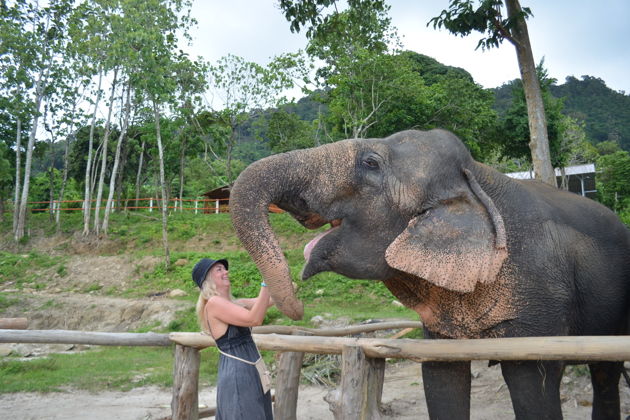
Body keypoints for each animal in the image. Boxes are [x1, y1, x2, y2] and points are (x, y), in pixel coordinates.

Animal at [231, 130, 630, 418]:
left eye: (370, 162)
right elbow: (441, 376)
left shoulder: (541, 298)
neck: (477, 177)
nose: (295, 308)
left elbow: (534, 383)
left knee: (605, 372)